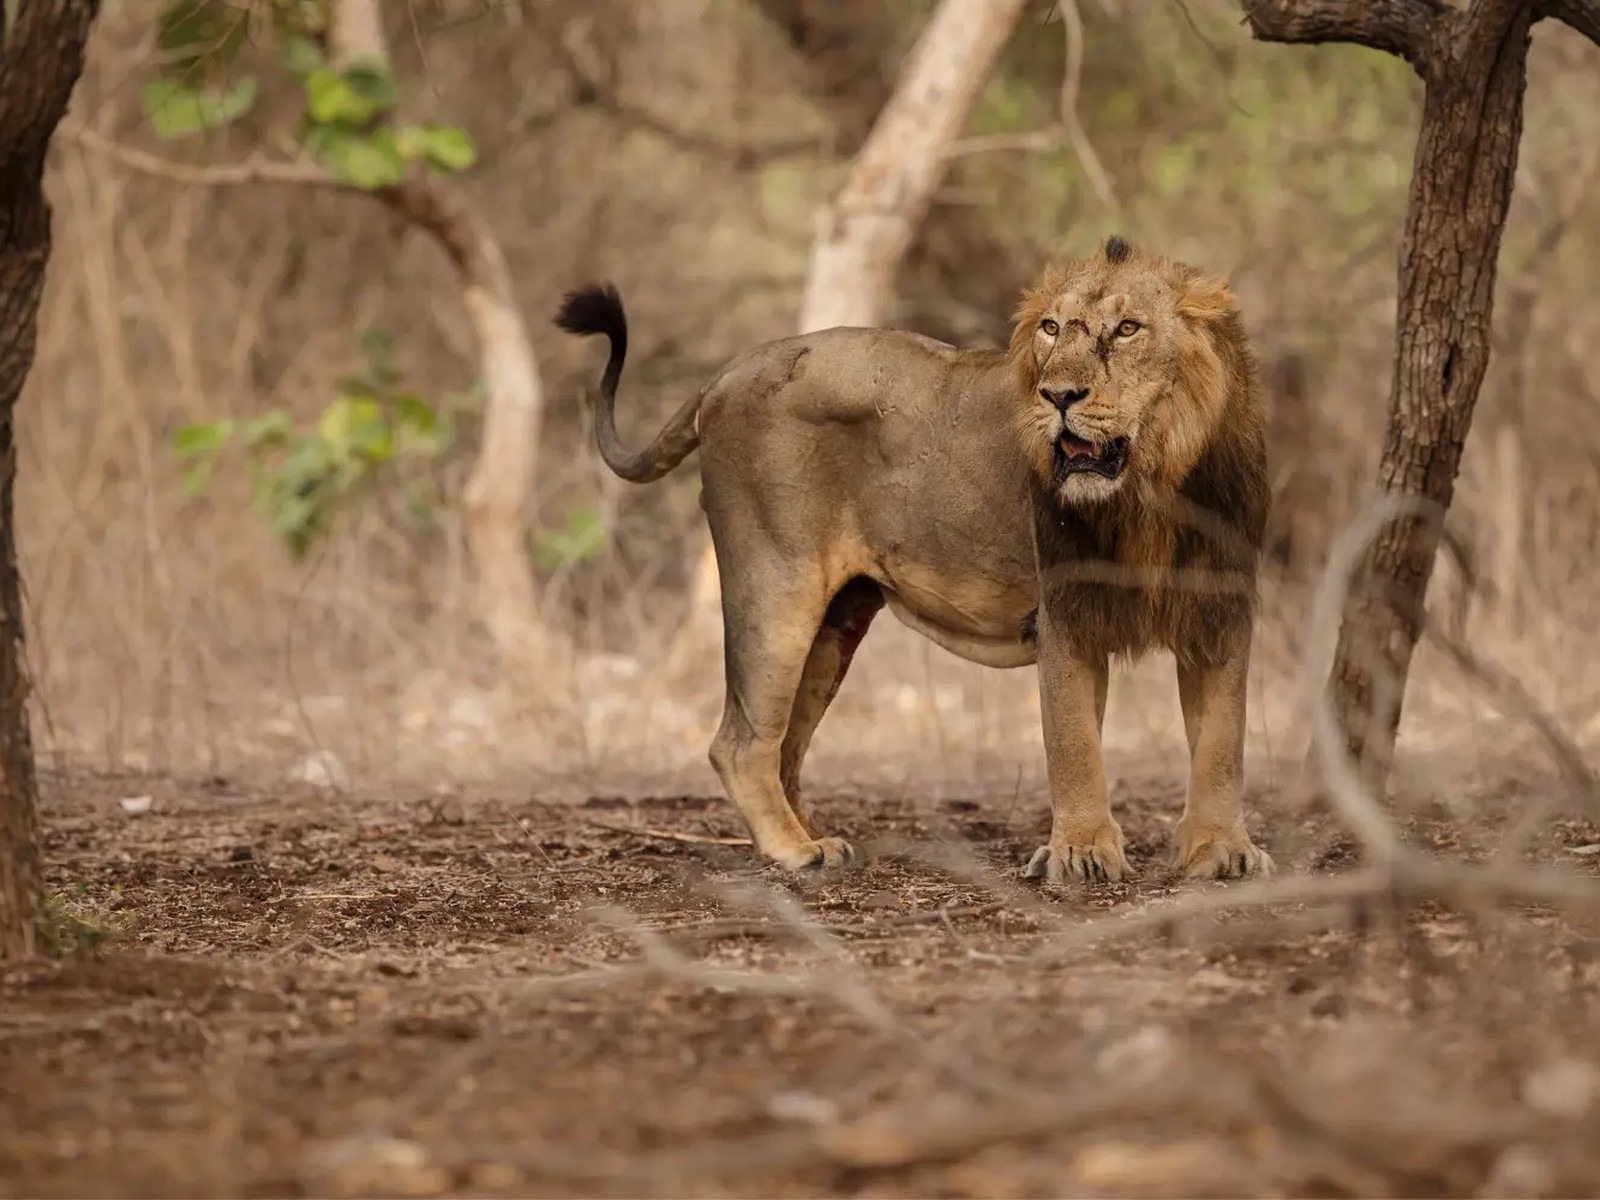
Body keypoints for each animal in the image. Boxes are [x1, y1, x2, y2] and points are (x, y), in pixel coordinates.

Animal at [555, 235, 1273, 883]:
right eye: (1050, 328)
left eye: (1127, 329)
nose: (1058, 396)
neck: (1155, 490)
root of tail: (727, 371)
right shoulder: (1065, 612)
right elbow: (1074, 746)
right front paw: (1081, 854)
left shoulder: (1221, 613)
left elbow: (1222, 743)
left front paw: (1222, 852)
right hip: (775, 586)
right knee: (739, 743)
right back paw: (794, 852)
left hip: (837, 623)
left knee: (786, 747)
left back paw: (813, 835)